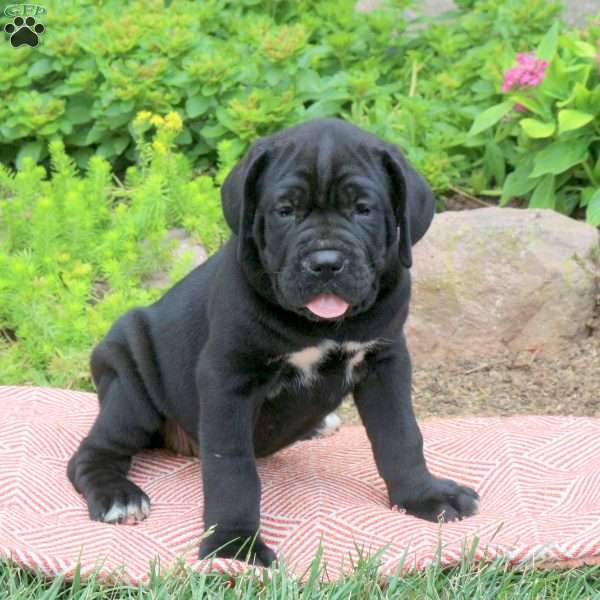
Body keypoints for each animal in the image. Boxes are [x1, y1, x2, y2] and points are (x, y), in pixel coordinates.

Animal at [67, 118, 478, 568]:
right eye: (286, 211)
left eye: (362, 209)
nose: (326, 263)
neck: (319, 326)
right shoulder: (227, 378)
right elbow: (232, 468)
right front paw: (234, 545)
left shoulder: (384, 361)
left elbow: (401, 435)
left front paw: (423, 496)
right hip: (130, 389)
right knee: (93, 452)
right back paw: (118, 497)